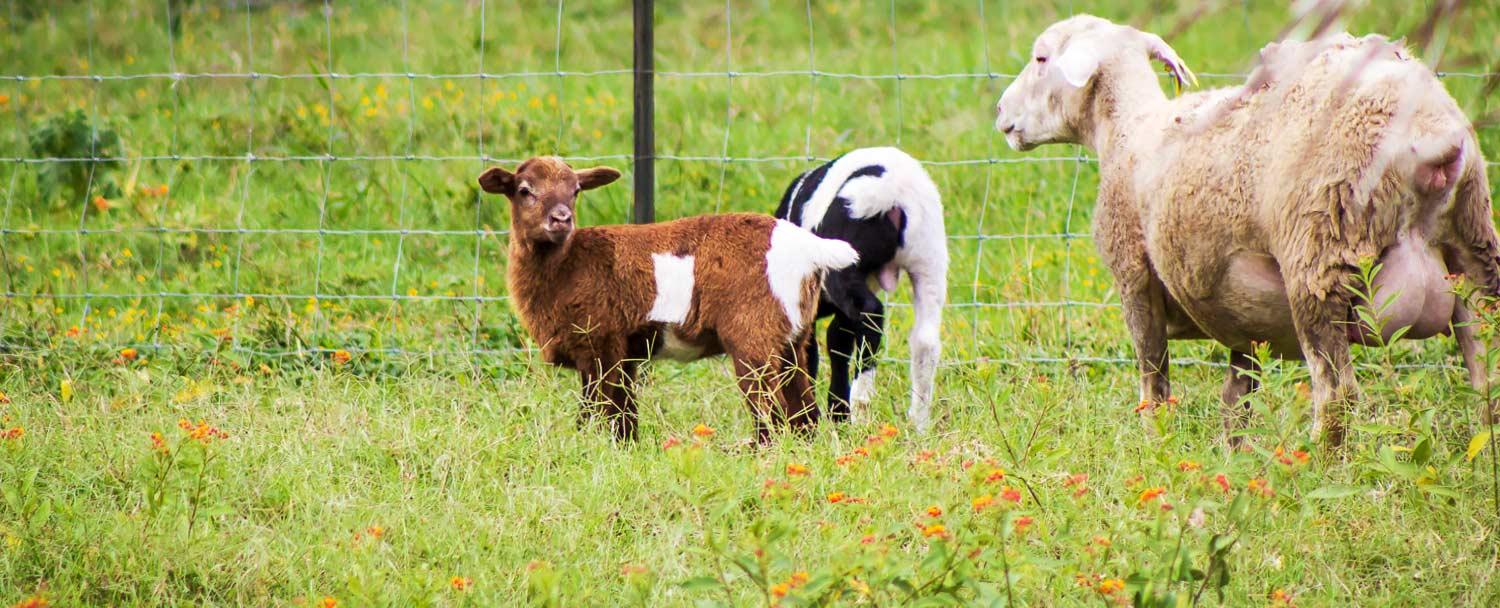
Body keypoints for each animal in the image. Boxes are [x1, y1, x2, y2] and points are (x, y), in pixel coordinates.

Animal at [477, 156, 858, 441]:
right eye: (524, 190)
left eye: (575, 191)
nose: (561, 219)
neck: (568, 264)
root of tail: (809, 247)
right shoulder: (624, 354)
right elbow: (624, 418)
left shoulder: (600, 346)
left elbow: (595, 413)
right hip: (794, 338)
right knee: (804, 414)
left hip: (754, 336)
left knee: (771, 412)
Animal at [996, 16, 1500, 447]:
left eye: (1041, 58)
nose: (1000, 111)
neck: (1127, 130)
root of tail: (1428, 133)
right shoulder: (1243, 317)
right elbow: (1235, 399)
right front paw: (1231, 458)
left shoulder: (1134, 277)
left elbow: (1153, 383)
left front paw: (1156, 448)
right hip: (1473, 246)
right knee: (1487, 376)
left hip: (1317, 254)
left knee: (1336, 393)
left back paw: (1316, 468)